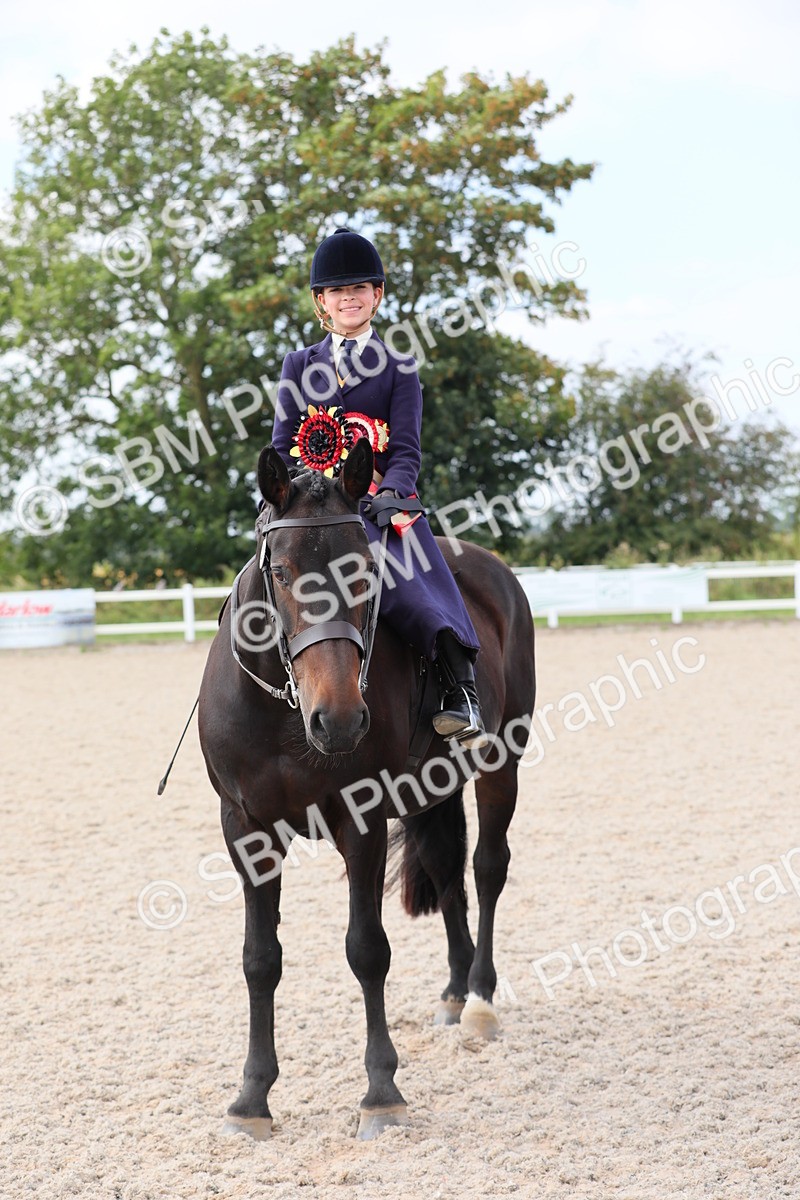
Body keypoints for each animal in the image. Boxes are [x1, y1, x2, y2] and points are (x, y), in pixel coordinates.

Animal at [197, 439, 536, 1140]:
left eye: (363, 574)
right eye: (280, 573)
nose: (341, 720)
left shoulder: (364, 820)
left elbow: (367, 949)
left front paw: (381, 1091)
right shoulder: (245, 828)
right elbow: (259, 958)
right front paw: (252, 1098)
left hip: (501, 761)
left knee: (488, 867)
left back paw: (480, 1001)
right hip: (432, 788)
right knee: (447, 867)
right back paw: (455, 991)